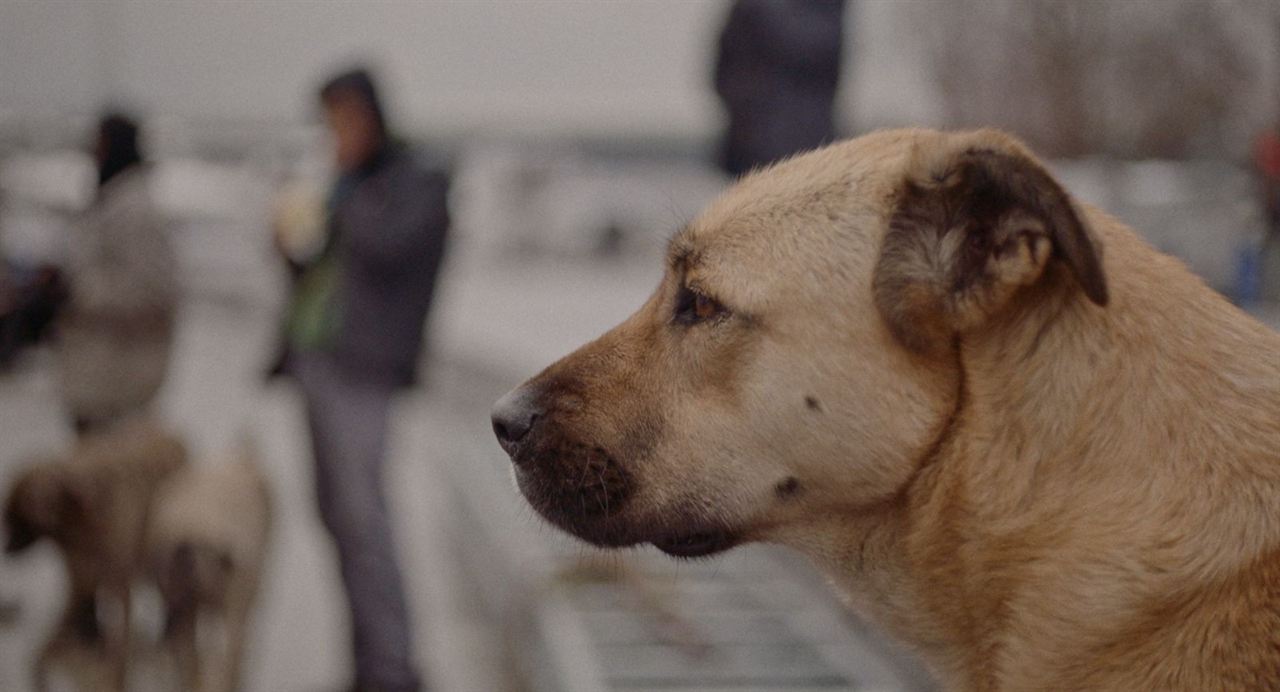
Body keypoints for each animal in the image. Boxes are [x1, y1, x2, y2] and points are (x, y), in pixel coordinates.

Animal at [1, 414, 186, 690]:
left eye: (16, 519)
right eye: (8, 518)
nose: (6, 550)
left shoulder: (116, 583)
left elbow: (118, 651)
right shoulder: (79, 579)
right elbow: (67, 631)